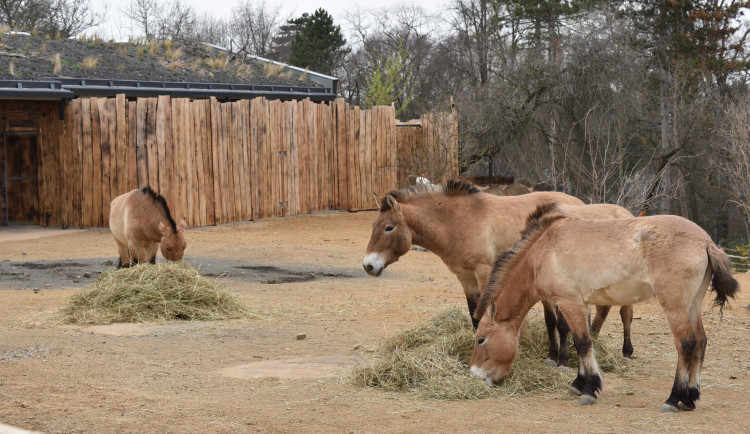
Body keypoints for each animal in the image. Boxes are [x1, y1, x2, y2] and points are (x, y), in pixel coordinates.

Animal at [470, 205, 740, 412]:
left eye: (481, 339)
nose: (475, 375)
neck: (542, 251)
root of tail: (705, 241)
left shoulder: (569, 302)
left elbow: (582, 343)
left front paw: (589, 388)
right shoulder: (580, 304)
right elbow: (578, 341)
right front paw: (578, 384)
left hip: (676, 307)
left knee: (686, 345)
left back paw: (674, 399)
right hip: (692, 306)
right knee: (701, 342)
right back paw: (691, 397)